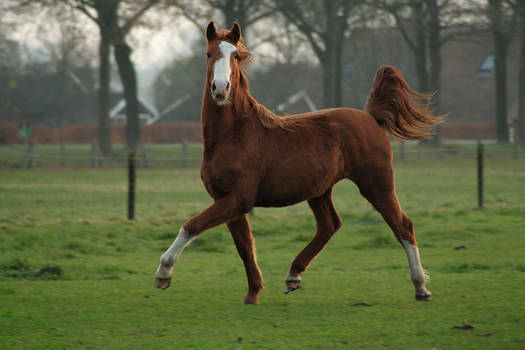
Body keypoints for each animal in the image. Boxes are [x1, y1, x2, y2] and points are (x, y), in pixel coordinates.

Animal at [154, 23, 440, 304]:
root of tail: (372, 117)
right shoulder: (225, 199)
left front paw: (163, 273)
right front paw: (252, 294)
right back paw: (293, 276)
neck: (236, 134)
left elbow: (192, 225)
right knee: (329, 225)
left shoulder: (239, 198)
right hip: (320, 191)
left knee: (402, 225)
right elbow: (244, 246)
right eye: (209, 54)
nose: (221, 88)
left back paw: (420, 288)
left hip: (376, 184)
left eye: (235, 55)